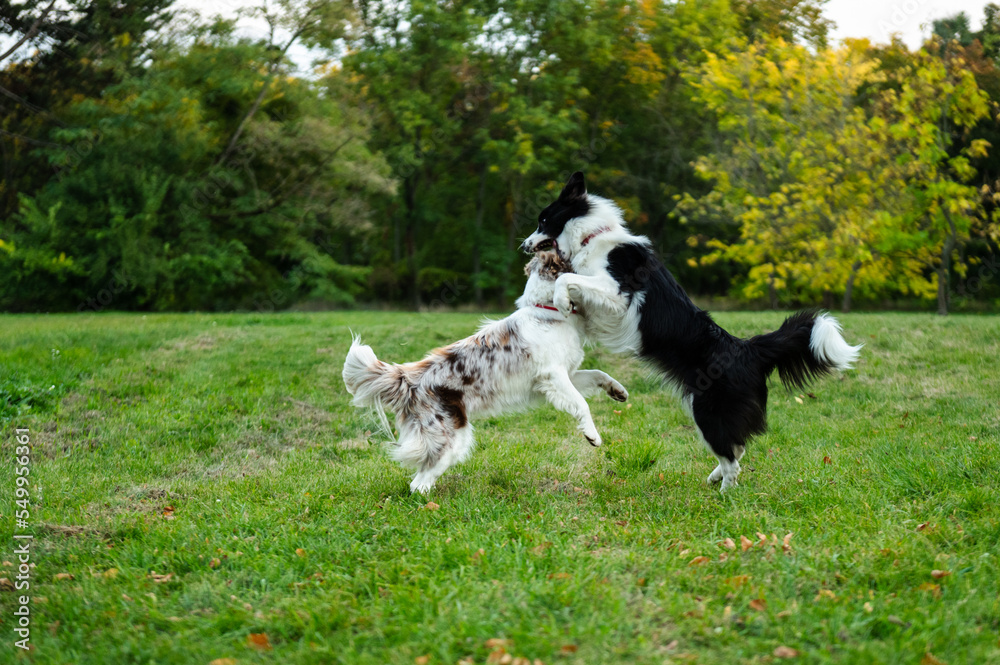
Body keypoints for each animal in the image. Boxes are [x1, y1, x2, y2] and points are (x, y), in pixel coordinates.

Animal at [344, 252, 624, 490]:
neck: (547, 311)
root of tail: (410, 379)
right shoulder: (553, 375)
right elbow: (582, 404)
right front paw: (592, 436)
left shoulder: (559, 376)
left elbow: (597, 373)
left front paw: (617, 390)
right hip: (451, 438)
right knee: (419, 482)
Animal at [520, 174, 864, 490]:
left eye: (543, 220)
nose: (523, 245)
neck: (593, 236)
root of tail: (747, 349)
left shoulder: (617, 294)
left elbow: (568, 280)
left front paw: (561, 301)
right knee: (738, 447)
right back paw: (715, 477)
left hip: (707, 411)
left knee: (732, 459)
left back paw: (725, 495)